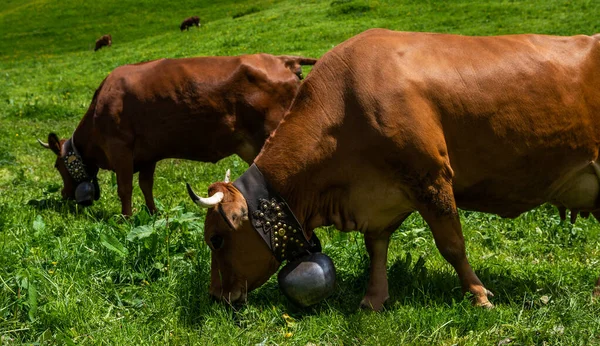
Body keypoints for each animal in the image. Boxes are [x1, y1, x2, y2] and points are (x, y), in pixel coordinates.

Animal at [38, 53, 318, 216]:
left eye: (57, 165)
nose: (64, 195)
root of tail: (281, 59)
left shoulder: (120, 149)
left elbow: (124, 188)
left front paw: (125, 219)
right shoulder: (147, 155)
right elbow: (146, 185)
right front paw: (152, 214)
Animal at [188, 29, 600, 310]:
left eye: (216, 239)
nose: (215, 295)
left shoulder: (432, 178)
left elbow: (452, 245)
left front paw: (479, 294)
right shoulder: (380, 197)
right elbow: (376, 248)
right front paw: (373, 299)